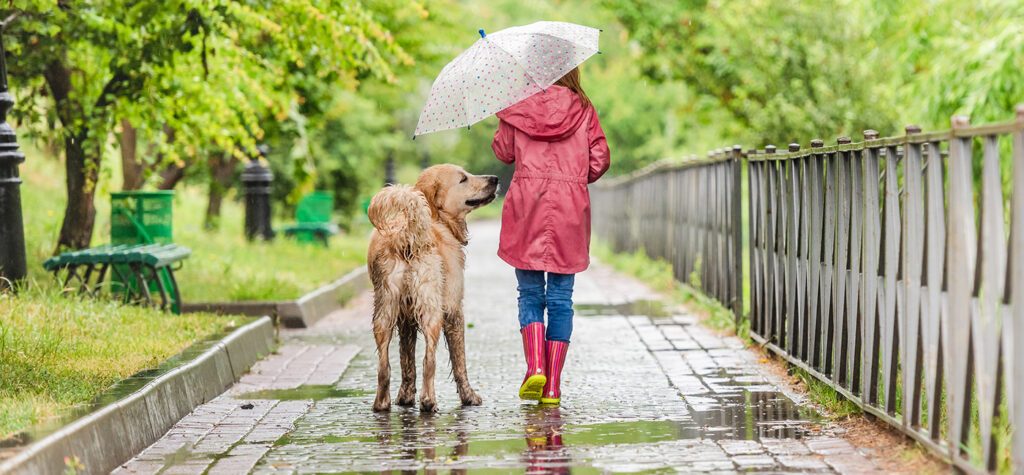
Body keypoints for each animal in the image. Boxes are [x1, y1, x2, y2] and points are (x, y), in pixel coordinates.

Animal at [366, 163, 497, 411]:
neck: (438, 220)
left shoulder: (405, 318)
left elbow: (407, 360)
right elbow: (459, 361)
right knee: (430, 359)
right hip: (431, 309)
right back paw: (428, 401)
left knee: (383, 365)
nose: (495, 178)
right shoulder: (453, 309)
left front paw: (405, 397)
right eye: (463, 179)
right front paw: (469, 397)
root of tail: (407, 234)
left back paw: (382, 403)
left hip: (384, 310)